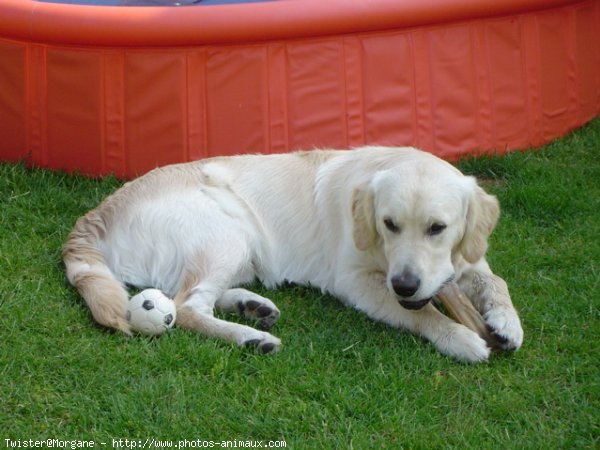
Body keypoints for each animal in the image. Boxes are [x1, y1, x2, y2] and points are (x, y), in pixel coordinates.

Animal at [64, 148, 520, 362]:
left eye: (437, 228)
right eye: (389, 224)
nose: (405, 284)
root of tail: (98, 211)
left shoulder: (466, 259)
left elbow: (495, 280)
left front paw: (507, 323)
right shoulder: (356, 283)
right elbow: (420, 313)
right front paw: (459, 337)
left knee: (192, 297)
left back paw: (252, 307)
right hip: (227, 232)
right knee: (186, 307)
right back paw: (251, 337)